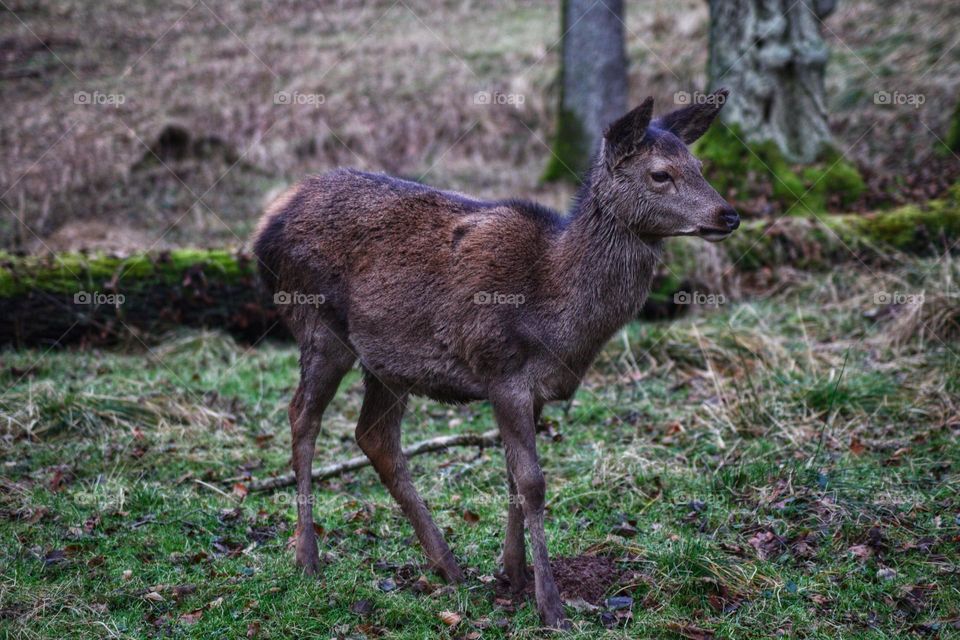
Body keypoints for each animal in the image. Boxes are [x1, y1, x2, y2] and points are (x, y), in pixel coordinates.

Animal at [253, 90, 736, 632]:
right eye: (660, 174)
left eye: (699, 166)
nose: (728, 215)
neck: (558, 316)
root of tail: (265, 227)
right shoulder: (502, 371)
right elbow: (533, 482)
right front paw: (551, 605)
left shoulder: (535, 387)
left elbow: (511, 475)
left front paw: (513, 575)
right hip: (319, 325)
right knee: (302, 416)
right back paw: (309, 558)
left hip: (388, 361)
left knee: (374, 436)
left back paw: (446, 563)